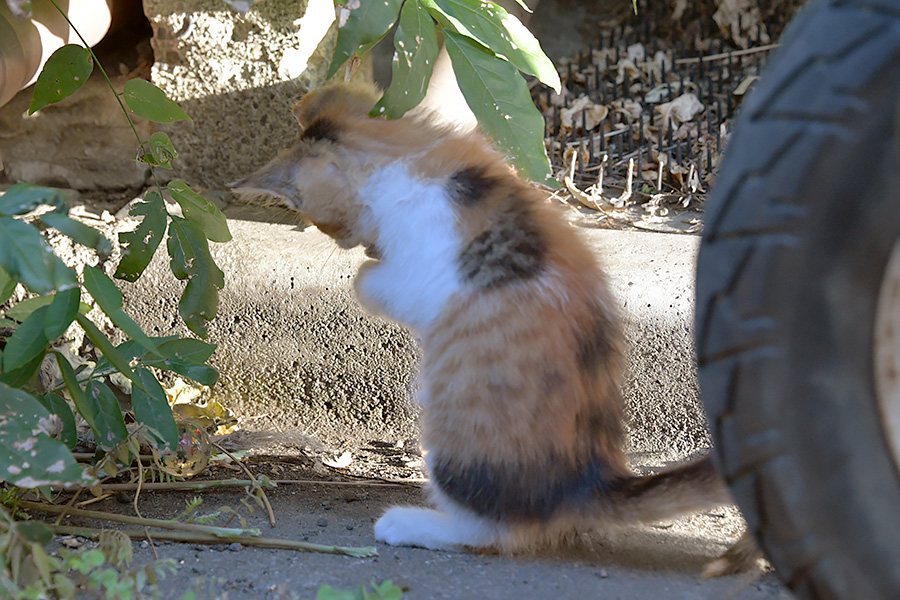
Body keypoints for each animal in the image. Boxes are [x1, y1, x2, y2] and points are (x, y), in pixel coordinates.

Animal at [232, 82, 740, 556]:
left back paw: (407, 524)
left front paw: (367, 271)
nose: (346, 243)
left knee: (494, 532)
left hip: (453, 439)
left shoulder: (422, 270)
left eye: (324, 223)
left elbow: (375, 285)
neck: (409, 154)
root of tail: (587, 483)